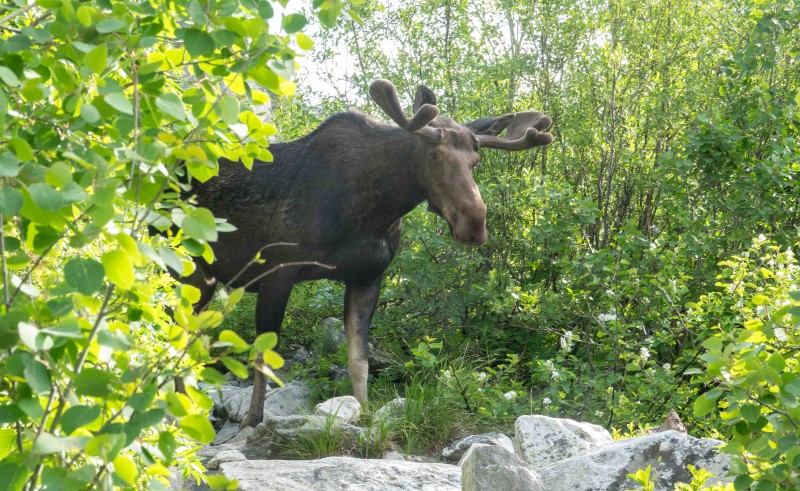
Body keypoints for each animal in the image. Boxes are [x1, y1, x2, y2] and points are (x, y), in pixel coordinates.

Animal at [180, 79, 553, 428]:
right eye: (434, 155)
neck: (380, 207)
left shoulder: (368, 276)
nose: (474, 223)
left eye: (475, 160)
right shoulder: (277, 272)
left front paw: (366, 414)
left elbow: (358, 359)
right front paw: (252, 419)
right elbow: (263, 357)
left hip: (204, 280)